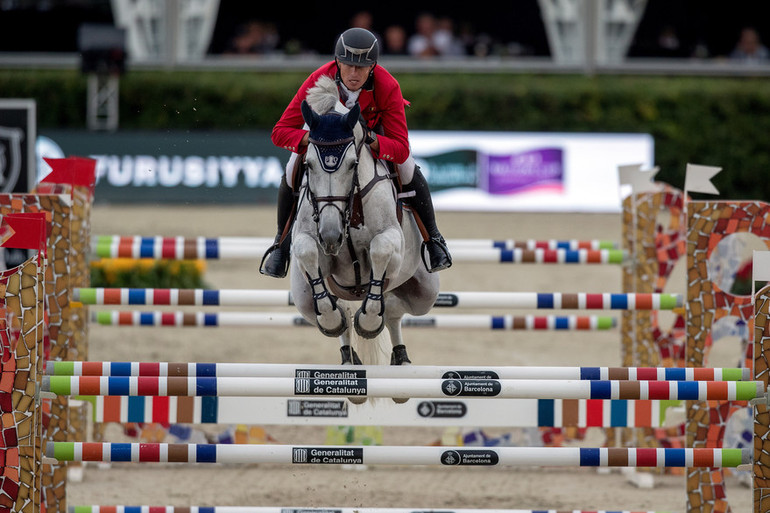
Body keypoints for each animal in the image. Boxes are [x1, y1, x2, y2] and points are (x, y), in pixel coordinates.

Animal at [286, 75, 438, 392]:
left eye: (353, 164)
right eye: (308, 165)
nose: (331, 235)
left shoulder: (392, 242)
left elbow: (380, 250)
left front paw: (368, 322)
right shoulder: (311, 245)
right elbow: (307, 251)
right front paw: (332, 319)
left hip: (424, 292)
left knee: (392, 310)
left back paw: (399, 357)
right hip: (304, 298)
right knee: (340, 311)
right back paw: (348, 359)